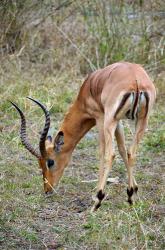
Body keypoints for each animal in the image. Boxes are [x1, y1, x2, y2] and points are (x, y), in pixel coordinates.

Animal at [10, 62, 155, 211]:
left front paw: (96, 194)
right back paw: (130, 197)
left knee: (110, 154)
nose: (47, 189)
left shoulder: (100, 117)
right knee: (131, 152)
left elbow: (102, 152)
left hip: (110, 121)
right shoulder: (118, 121)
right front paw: (134, 190)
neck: (89, 87)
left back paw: (98, 200)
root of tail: (135, 81)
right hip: (142, 120)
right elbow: (122, 150)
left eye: (50, 162)